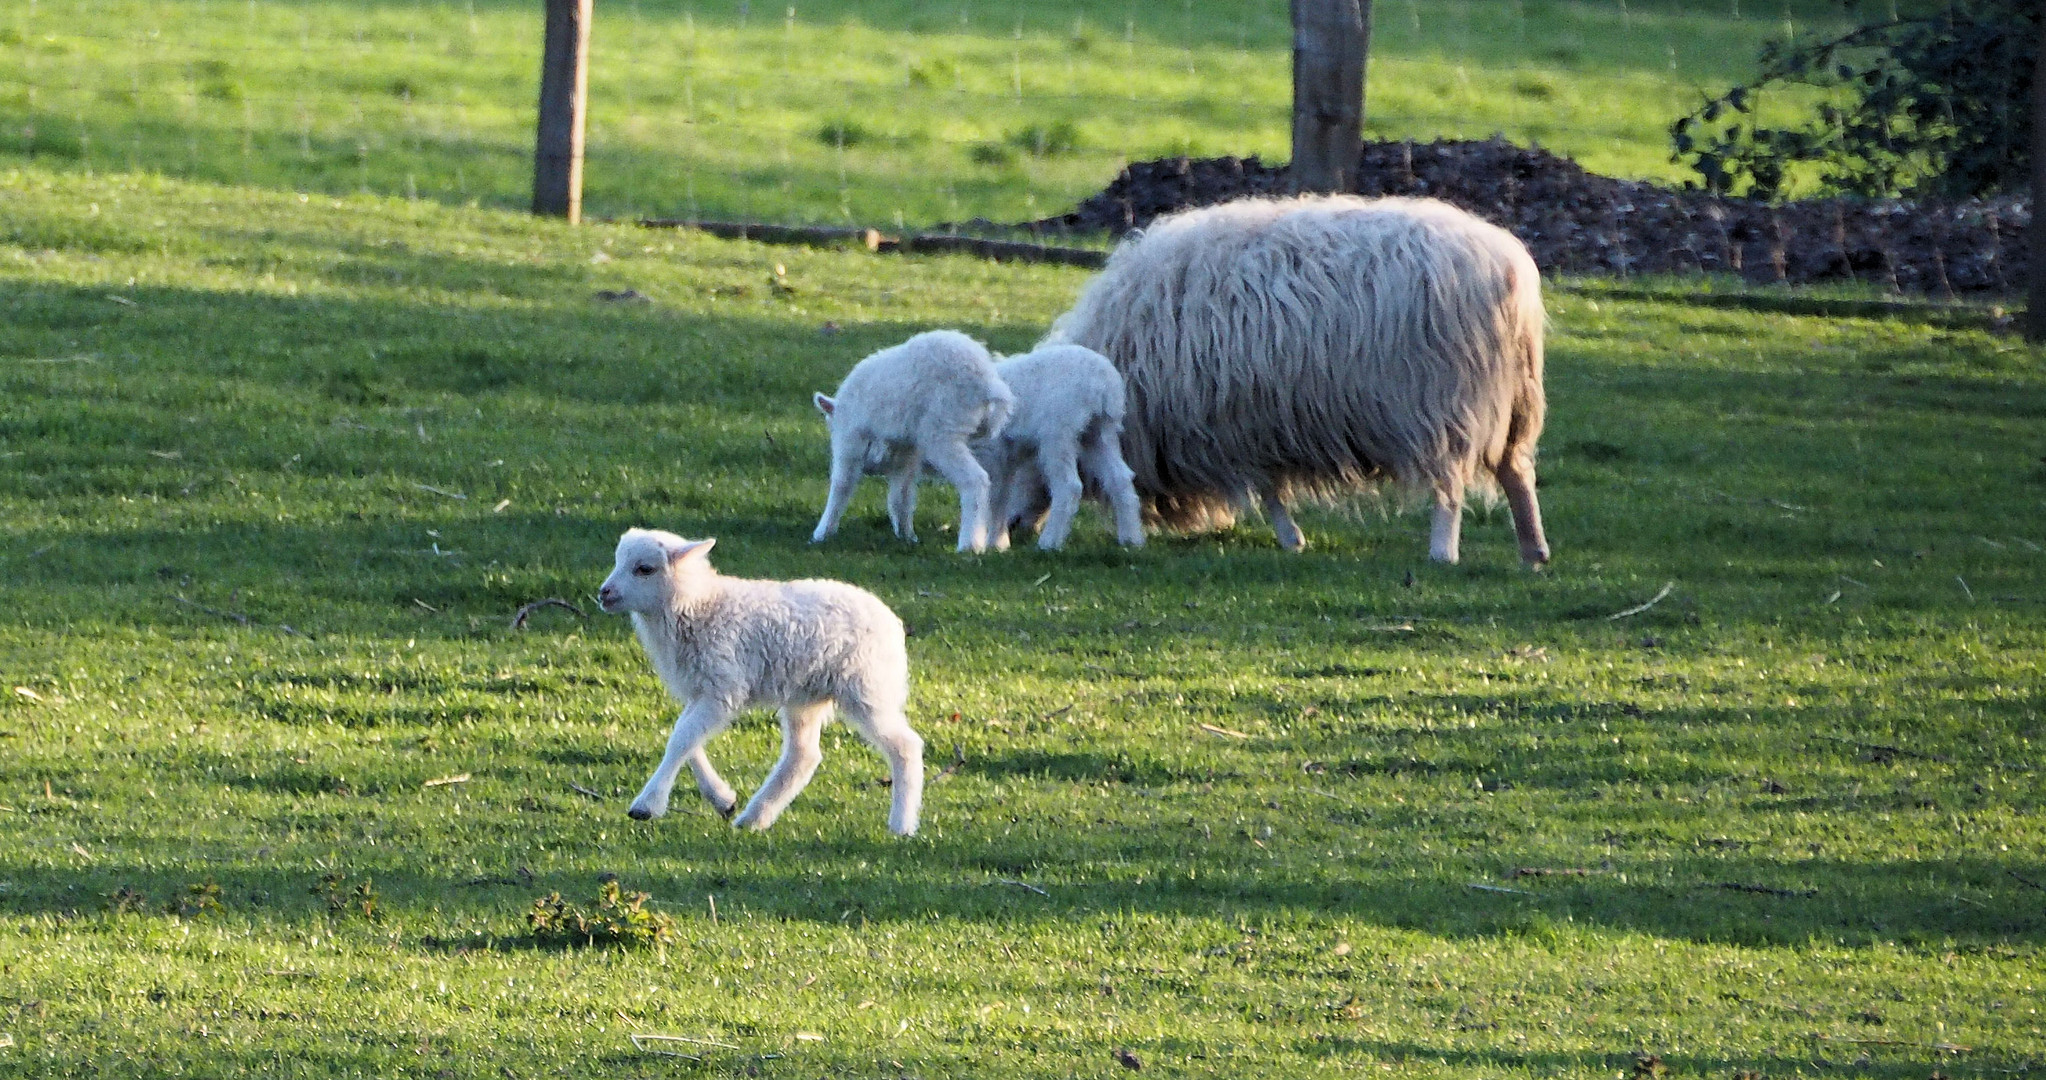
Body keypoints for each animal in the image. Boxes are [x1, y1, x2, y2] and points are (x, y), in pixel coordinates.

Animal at [597, 523, 924, 834]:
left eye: (644, 569)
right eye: (617, 560)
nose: (604, 593)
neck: (699, 605)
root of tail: (891, 620)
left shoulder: (723, 686)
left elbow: (681, 739)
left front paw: (646, 805)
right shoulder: (702, 688)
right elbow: (687, 740)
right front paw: (723, 799)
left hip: (867, 686)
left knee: (905, 746)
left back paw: (901, 824)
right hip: (805, 694)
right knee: (803, 756)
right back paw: (755, 817)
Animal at [806, 329, 1014, 552]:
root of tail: (988, 383)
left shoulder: (850, 440)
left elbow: (841, 485)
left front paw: (821, 533)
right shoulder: (906, 455)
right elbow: (901, 496)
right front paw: (906, 535)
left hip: (942, 429)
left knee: (975, 480)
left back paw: (969, 544)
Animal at [977, 343, 1153, 548]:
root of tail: (1104, 383)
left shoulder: (992, 454)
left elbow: (992, 498)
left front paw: (991, 543)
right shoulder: (1003, 459)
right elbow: (999, 499)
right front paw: (997, 542)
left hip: (1059, 432)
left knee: (1069, 486)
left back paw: (1050, 541)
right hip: (1099, 433)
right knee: (1120, 479)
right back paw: (1131, 538)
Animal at [1039, 196, 1546, 564]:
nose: (1024, 535)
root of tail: (1509, 268)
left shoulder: (1238, 425)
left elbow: (1268, 492)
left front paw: (1289, 537)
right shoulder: (1259, 422)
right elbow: (1270, 489)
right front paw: (1293, 539)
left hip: (1444, 404)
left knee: (1450, 487)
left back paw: (1443, 551)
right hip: (1515, 404)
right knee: (1517, 473)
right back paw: (1534, 551)